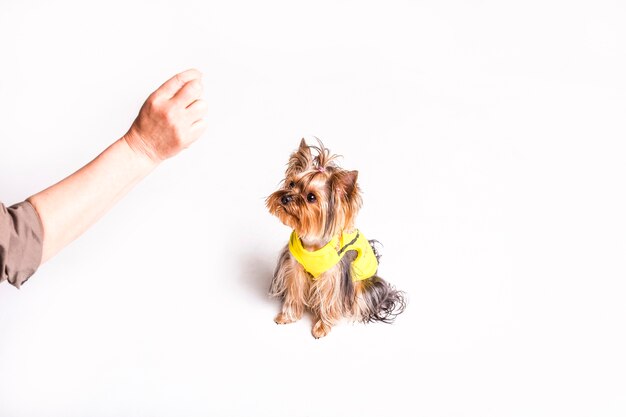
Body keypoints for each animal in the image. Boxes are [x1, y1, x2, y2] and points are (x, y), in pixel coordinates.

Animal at [264, 138, 404, 336]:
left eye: (311, 197)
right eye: (291, 184)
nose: (285, 198)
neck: (312, 243)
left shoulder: (333, 276)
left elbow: (329, 300)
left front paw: (322, 326)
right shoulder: (295, 268)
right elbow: (294, 292)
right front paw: (288, 316)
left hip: (362, 286)